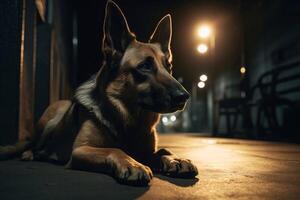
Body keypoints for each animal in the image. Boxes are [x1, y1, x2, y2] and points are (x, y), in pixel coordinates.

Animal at [0, 0, 199, 186]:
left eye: (169, 67)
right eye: (145, 66)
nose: (184, 96)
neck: (129, 120)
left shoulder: (146, 151)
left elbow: (162, 151)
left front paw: (174, 158)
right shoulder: (81, 150)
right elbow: (115, 149)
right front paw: (132, 163)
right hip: (52, 119)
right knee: (34, 145)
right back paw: (31, 154)